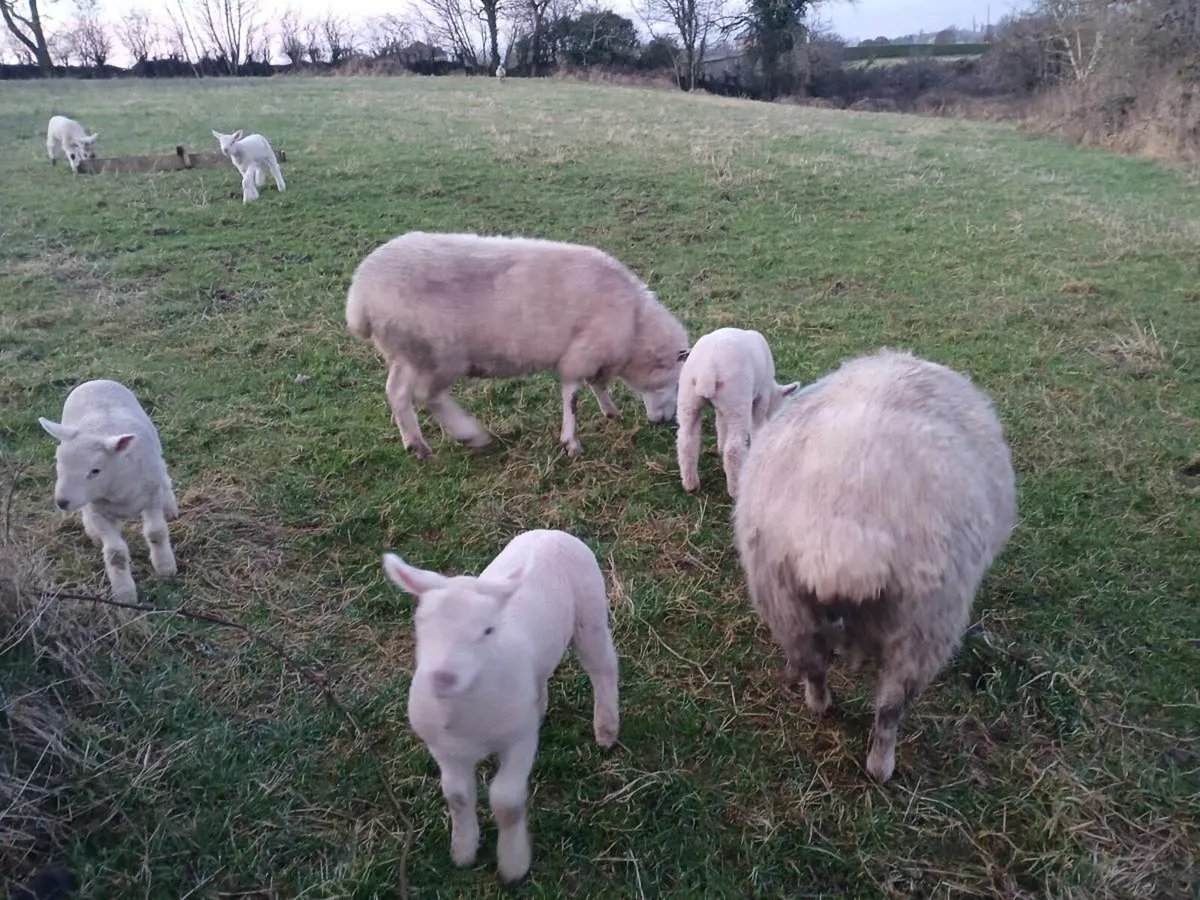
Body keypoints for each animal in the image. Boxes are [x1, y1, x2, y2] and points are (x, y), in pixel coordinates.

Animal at [38, 379, 180, 603]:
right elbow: (115, 554)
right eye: (58, 462)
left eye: (95, 470)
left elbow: (156, 533)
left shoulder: (151, 498)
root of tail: (94, 381)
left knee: (164, 474)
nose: (62, 502)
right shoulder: (99, 510)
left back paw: (170, 508)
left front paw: (166, 568)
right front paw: (125, 595)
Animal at [345, 230, 690, 459]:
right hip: (437, 353)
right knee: (428, 396)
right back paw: (468, 434)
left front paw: (610, 410)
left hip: (407, 353)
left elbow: (598, 384)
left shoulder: (597, 354)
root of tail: (359, 295)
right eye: (676, 383)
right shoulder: (581, 352)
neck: (635, 324)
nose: (665, 422)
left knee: (398, 393)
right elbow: (572, 397)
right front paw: (571, 441)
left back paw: (416, 443)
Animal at [382, 529, 620, 884]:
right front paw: (463, 851)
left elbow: (506, 802)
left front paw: (512, 866)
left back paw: (606, 730)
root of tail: (548, 532)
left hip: (590, 611)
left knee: (603, 666)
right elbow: (457, 796)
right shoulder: (445, 749)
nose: (441, 677)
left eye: (487, 630)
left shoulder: (519, 741)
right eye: (420, 622)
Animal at [675, 327, 798, 499]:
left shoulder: (722, 409)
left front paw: (719, 447)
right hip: (737, 402)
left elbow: (720, 425)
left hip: (688, 399)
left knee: (686, 440)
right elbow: (757, 426)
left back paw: (691, 484)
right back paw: (735, 489)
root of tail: (708, 371)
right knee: (733, 449)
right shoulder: (762, 396)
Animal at [732, 349, 1017, 783]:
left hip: (783, 603)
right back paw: (881, 766)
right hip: (926, 624)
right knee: (890, 709)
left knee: (814, 667)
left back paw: (820, 705)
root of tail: (848, 535)